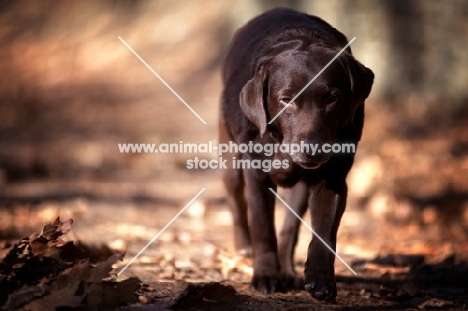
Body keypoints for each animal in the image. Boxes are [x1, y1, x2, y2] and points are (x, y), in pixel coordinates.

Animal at [218, 7, 372, 302]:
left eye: (332, 98)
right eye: (286, 99)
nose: (312, 147)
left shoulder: (333, 179)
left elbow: (324, 232)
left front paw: (321, 281)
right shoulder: (256, 174)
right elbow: (263, 227)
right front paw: (265, 277)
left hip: (299, 190)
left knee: (290, 227)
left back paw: (288, 271)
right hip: (229, 156)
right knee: (235, 200)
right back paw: (244, 248)